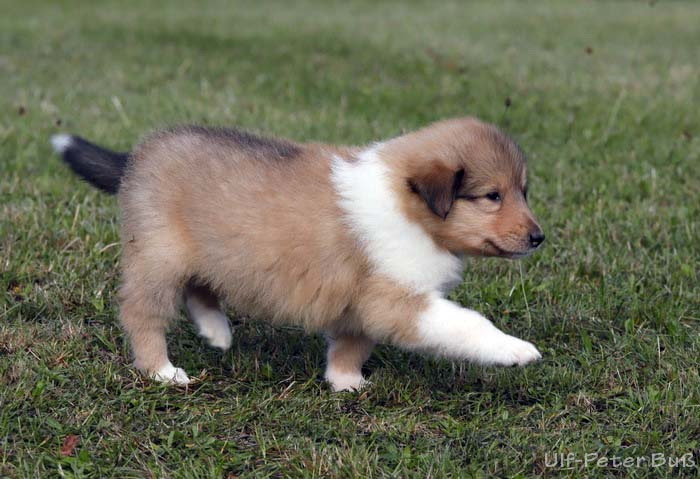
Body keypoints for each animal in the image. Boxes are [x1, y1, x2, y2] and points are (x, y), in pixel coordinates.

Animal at [51, 117, 544, 391]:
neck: (412, 209)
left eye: (523, 191)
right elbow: (466, 323)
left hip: (208, 251)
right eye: (492, 196)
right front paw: (516, 351)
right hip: (160, 256)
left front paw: (346, 383)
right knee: (142, 313)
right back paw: (162, 371)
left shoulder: (361, 302)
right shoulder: (394, 298)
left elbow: (352, 344)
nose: (538, 238)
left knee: (200, 289)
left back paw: (217, 333)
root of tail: (134, 158)